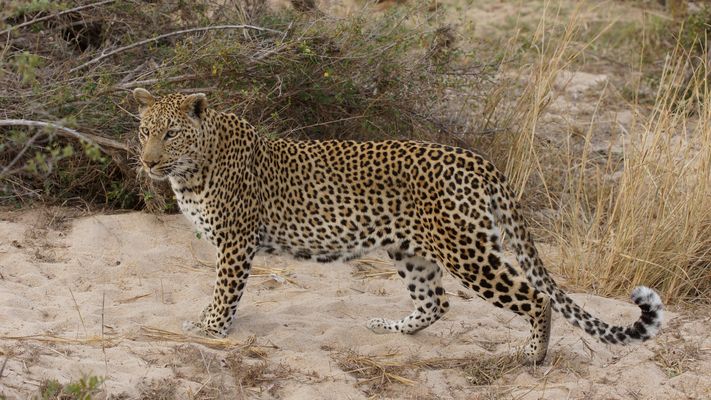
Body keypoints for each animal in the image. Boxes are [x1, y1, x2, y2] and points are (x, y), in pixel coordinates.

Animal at [133, 88, 663, 363]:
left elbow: (225, 292)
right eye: (144, 131)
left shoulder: (236, 242)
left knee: (533, 296)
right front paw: (209, 324)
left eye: (171, 133)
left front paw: (209, 329)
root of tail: (480, 162)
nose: (148, 161)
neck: (191, 169)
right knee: (437, 301)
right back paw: (391, 329)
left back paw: (530, 356)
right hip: (410, 250)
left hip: (467, 250)